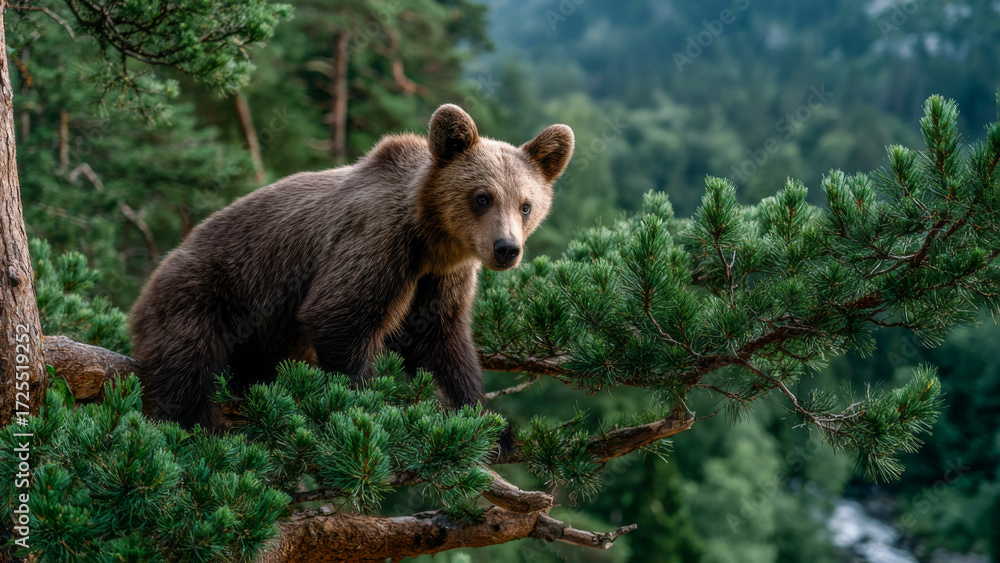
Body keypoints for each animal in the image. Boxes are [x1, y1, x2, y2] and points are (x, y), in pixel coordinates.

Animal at [128, 104, 574, 429]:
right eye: (482, 197)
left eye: (526, 204)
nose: (506, 248)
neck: (432, 239)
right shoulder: (376, 242)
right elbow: (340, 316)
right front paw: (367, 407)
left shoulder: (441, 277)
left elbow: (443, 340)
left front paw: (489, 424)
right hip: (209, 294)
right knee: (187, 367)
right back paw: (202, 426)